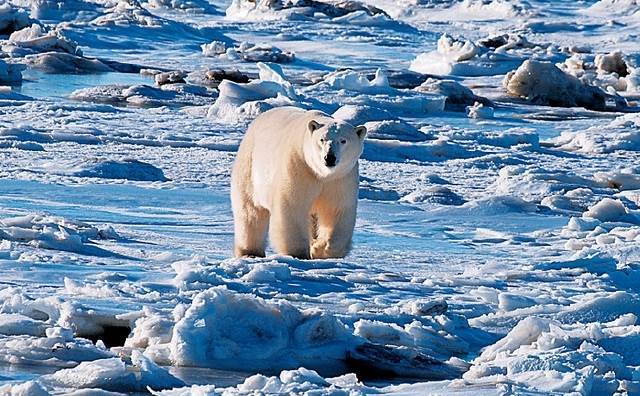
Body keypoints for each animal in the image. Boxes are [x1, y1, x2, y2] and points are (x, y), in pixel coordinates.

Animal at [232, 106, 368, 260]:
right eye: (322, 139)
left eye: (343, 140)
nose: (329, 158)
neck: (322, 174)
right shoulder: (300, 166)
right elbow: (293, 206)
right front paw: (300, 253)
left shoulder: (341, 179)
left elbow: (336, 210)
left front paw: (320, 249)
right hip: (250, 168)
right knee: (250, 212)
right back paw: (251, 251)